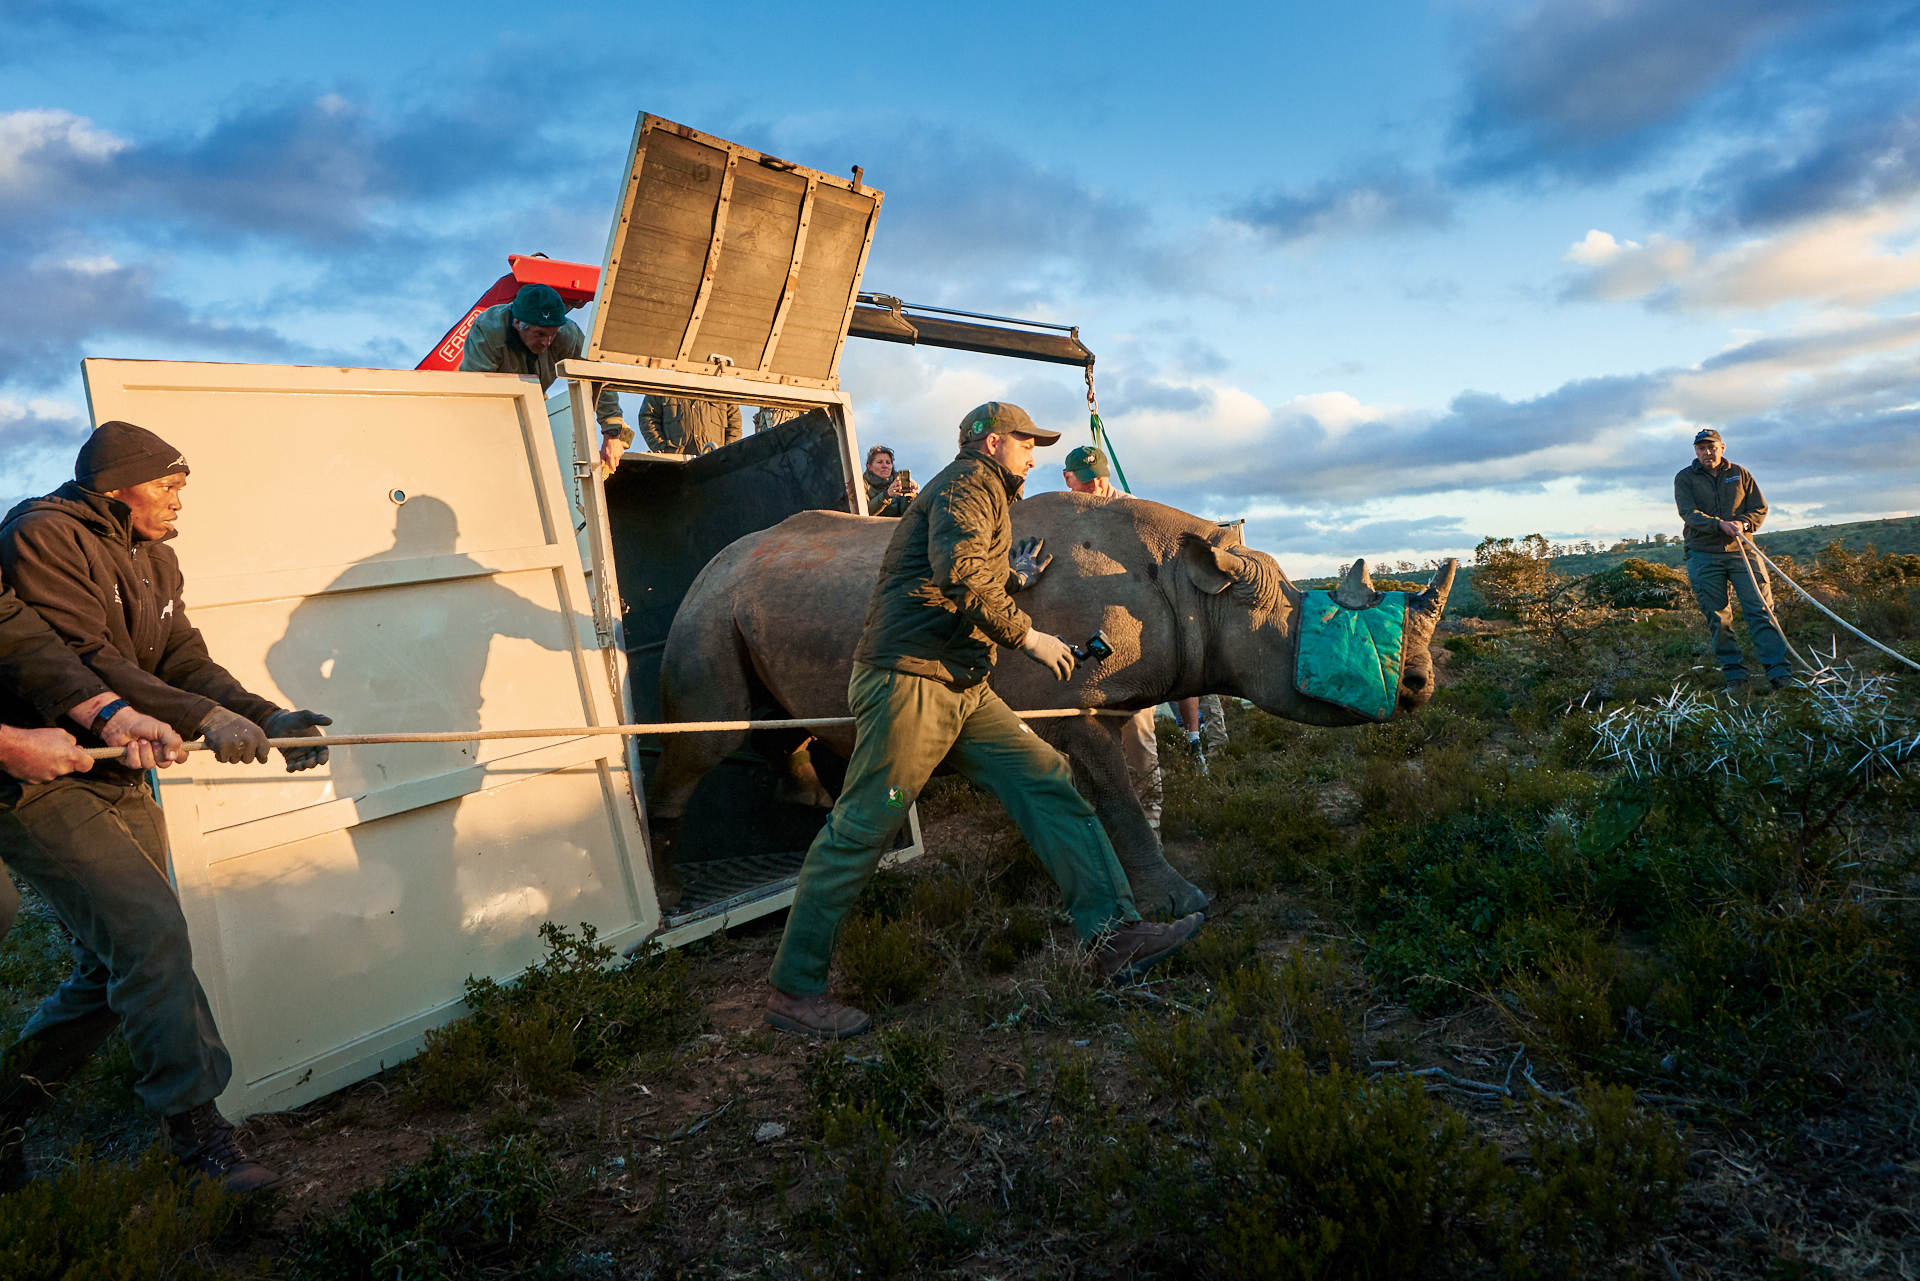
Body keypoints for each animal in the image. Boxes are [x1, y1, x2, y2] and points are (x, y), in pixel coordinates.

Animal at [646, 490, 1457, 915]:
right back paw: (675, 897)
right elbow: (1117, 799)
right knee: (705, 739)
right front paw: (1180, 903)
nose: (1419, 687)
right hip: (706, 606)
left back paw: (816, 816)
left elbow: (1132, 791)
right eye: (1318, 628)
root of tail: (710, 563)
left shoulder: (1120, 699)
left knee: (783, 726)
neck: (1196, 588)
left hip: (760, 601)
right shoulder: (1073, 706)